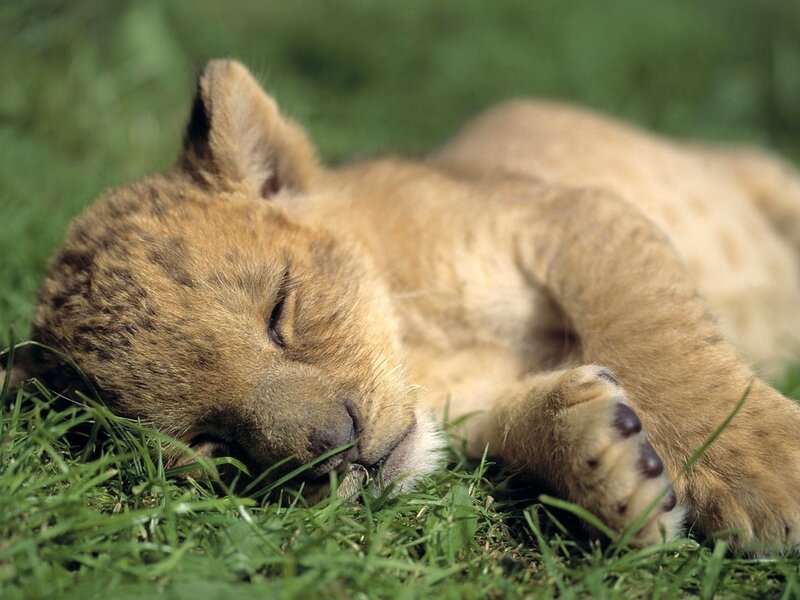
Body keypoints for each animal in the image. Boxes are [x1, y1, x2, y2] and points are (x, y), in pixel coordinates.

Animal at [6, 59, 800, 550]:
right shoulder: (476, 415)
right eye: (209, 442)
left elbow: (661, 342)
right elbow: (528, 421)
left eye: (280, 311)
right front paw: (607, 466)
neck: (425, 349)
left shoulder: (571, 214)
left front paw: (770, 476)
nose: (337, 450)